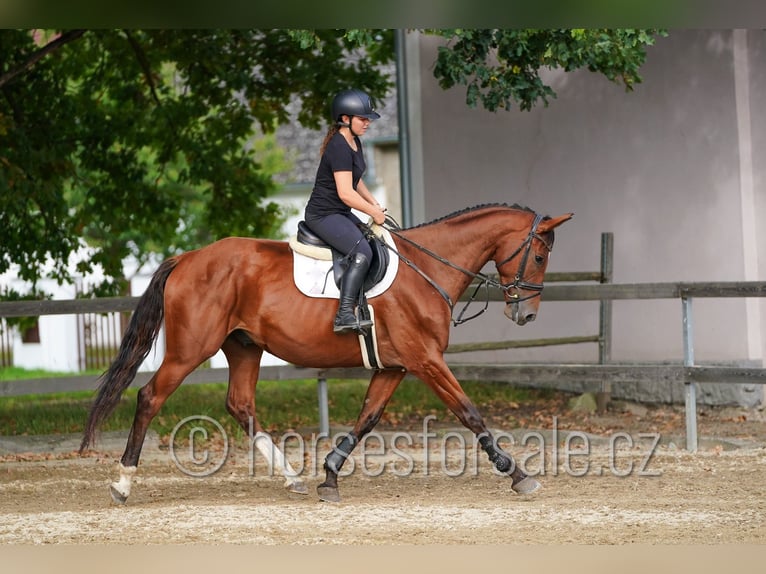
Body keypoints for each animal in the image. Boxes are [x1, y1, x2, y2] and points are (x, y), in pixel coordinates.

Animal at [80, 203, 572, 504]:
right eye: (541, 256)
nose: (526, 315)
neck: (428, 267)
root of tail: (189, 257)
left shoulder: (395, 366)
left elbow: (367, 418)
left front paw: (329, 476)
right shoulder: (426, 360)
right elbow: (469, 412)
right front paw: (516, 473)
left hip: (244, 348)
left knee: (240, 405)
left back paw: (292, 477)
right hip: (190, 350)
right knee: (150, 398)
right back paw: (122, 483)